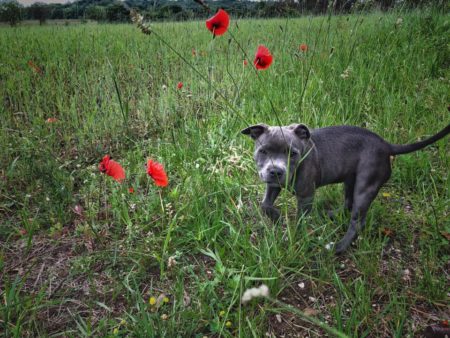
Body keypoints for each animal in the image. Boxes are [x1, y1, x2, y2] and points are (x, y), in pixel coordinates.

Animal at [243, 122, 450, 254]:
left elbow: (301, 220)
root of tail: (386, 145)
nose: (276, 171)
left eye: (292, 154)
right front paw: (277, 217)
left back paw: (339, 247)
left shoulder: (306, 196)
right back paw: (331, 215)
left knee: (357, 220)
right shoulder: (273, 185)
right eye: (263, 151)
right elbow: (265, 204)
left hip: (365, 187)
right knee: (348, 203)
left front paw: (296, 235)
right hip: (351, 180)